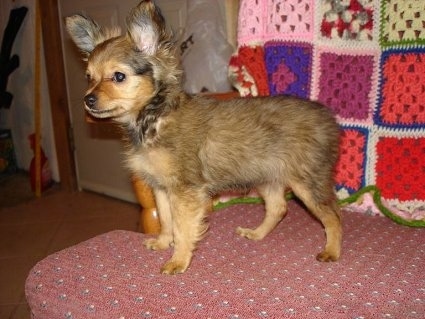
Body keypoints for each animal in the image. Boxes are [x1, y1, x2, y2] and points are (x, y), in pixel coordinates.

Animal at [66, 0, 342, 276]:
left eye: (119, 76)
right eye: (89, 77)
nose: (87, 100)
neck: (154, 118)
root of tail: (327, 117)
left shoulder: (185, 191)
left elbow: (182, 227)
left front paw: (178, 260)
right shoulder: (160, 187)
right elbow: (165, 219)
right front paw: (163, 243)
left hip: (307, 183)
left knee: (333, 215)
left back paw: (332, 251)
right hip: (266, 175)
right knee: (278, 208)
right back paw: (256, 234)